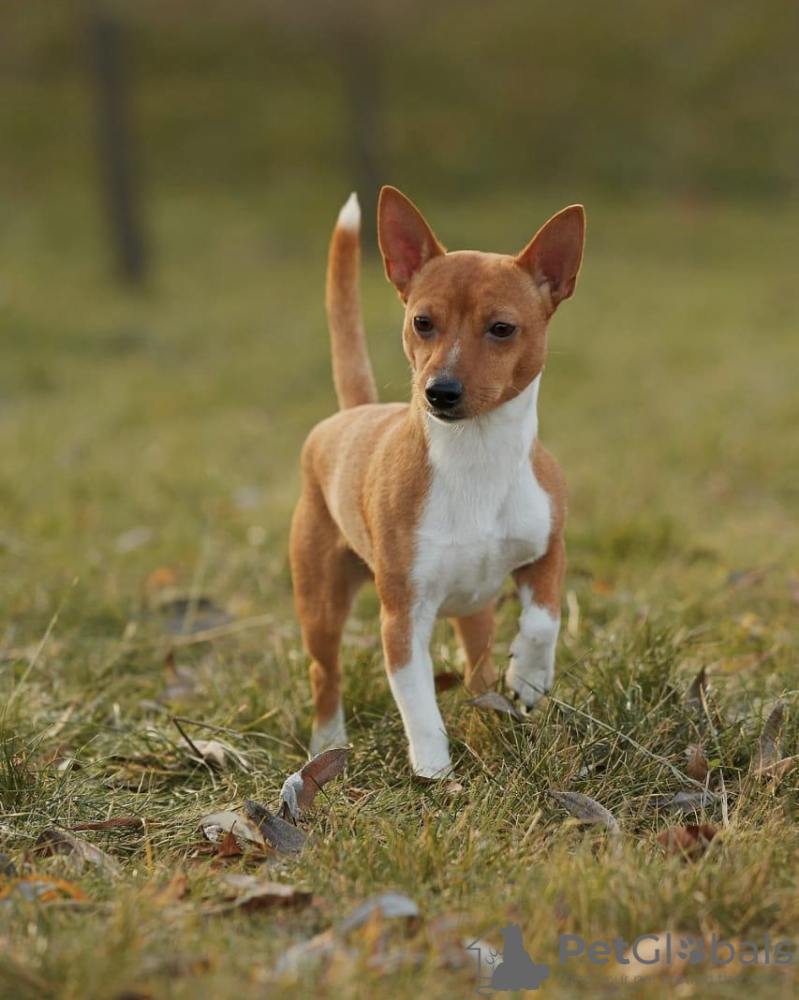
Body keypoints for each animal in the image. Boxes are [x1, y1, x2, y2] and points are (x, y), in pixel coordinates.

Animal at [290, 189, 584, 780]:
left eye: (502, 328)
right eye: (422, 322)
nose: (440, 391)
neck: (477, 457)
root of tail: (350, 414)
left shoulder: (548, 549)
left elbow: (545, 618)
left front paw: (529, 677)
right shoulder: (403, 620)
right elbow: (419, 706)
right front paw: (435, 774)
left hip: (475, 610)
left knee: (477, 667)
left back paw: (492, 711)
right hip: (320, 603)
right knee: (324, 674)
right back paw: (328, 743)